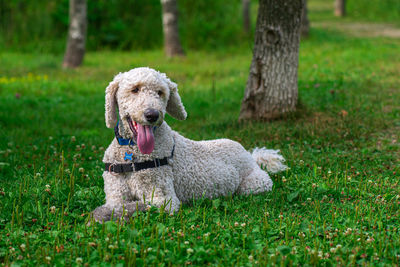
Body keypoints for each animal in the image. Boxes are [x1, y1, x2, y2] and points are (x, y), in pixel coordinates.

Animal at [93, 68, 288, 223]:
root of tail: (250, 155)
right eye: (135, 89)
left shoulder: (164, 199)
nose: (152, 115)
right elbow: (119, 205)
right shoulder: (116, 193)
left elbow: (133, 207)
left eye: (160, 92)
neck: (132, 155)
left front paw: (99, 215)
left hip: (253, 184)